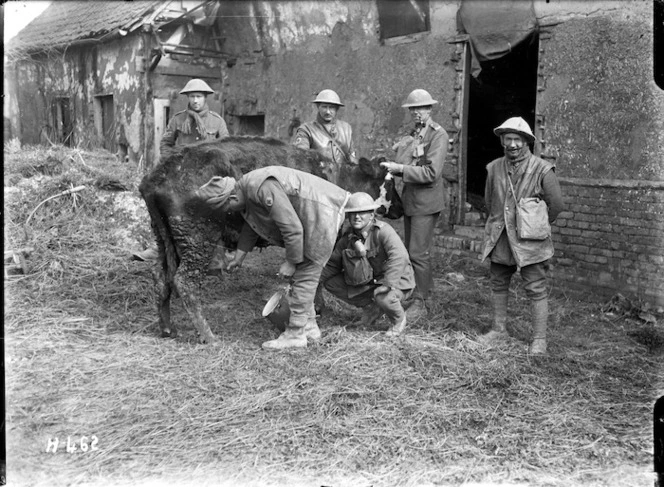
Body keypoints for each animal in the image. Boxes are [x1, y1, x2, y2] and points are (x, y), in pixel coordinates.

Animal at [137, 135, 402, 346]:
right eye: (389, 182)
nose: (400, 207)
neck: (341, 176)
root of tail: (158, 174)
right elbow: (315, 278)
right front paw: (316, 309)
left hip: (166, 239)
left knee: (161, 277)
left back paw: (168, 328)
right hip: (197, 238)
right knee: (185, 282)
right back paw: (209, 336)